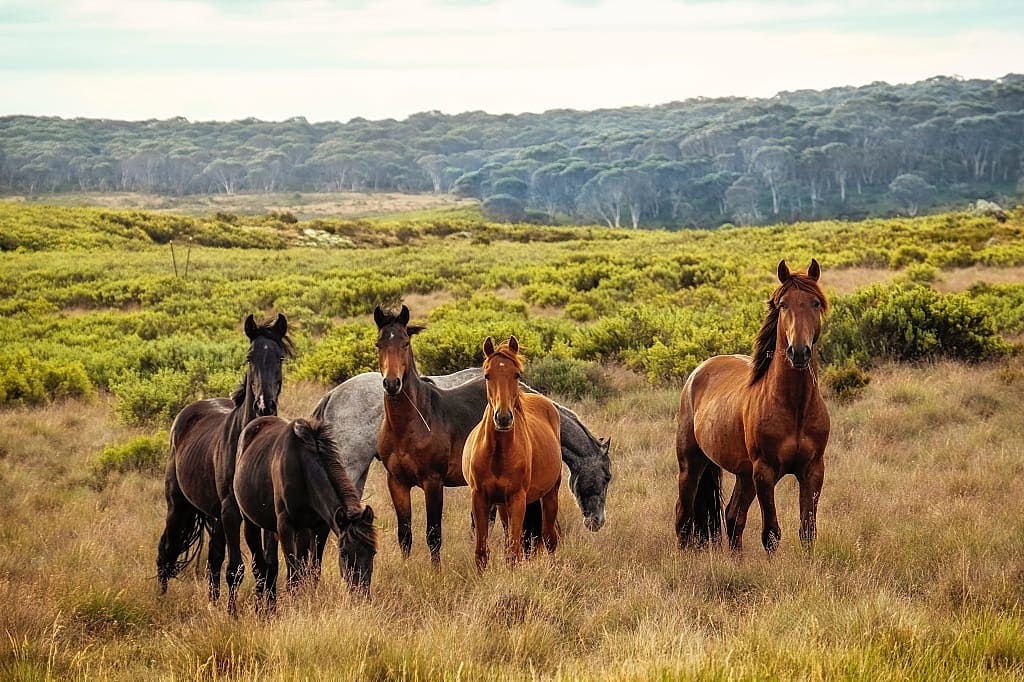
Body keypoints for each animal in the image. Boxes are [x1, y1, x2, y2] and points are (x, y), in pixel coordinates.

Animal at [156, 313, 291, 602]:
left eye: (280, 357)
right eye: (250, 357)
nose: (264, 405)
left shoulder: (263, 515)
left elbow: (268, 567)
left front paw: (268, 608)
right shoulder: (231, 512)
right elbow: (236, 569)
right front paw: (235, 612)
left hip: (214, 516)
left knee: (213, 559)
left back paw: (213, 603)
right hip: (179, 506)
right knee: (166, 552)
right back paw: (160, 601)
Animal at [232, 416, 377, 612]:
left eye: (373, 552)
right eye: (344, 554)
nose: (361, 596)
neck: (303, 467)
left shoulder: (320, 527)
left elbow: (312, 571)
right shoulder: (285, 526)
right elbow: (293, 575)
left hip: (287, 529)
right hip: (250, 523)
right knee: (260, 567)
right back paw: (263, 609)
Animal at [463, 337, 562, 570]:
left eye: (516, 374)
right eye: (487, 375)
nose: (503, 418)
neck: (498, 454)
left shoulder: (517, 499)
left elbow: (514, 552)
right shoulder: (480, 498)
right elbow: (482, 552)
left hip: (550, 494)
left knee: (549, 538)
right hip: (502, 505)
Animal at [674, 259, 830, 554]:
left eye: (815, 303)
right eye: (783, 304)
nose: (799, 352)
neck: (794, 406)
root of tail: (698, 372)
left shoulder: (813, 470)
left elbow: (808, 531)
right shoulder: (765, 473)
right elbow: (771, 534)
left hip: (744, 474)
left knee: (733, 517)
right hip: (692, 464)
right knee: (683, 515)